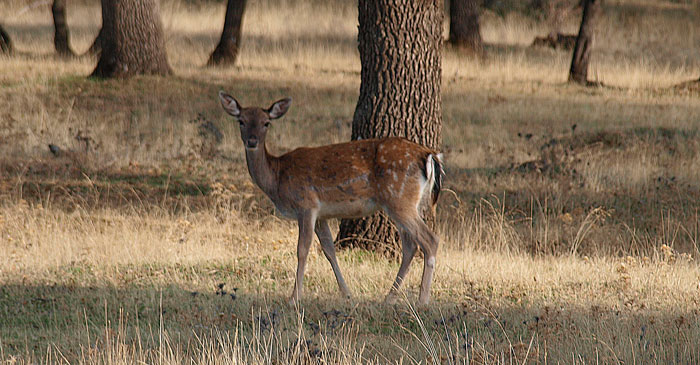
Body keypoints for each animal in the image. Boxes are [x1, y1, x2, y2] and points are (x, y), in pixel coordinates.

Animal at [219, 91, 442, 304]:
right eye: (241, 121)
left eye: (266, 123)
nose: (252, 141)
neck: (277, 177)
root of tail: (429, 154)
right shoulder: (321, 215)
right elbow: (328, 250)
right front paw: (347, 293)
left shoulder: (306, 204)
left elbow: (302, 249)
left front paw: (294, 298)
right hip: (408, 202)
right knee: (411, 245)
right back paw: (390, 297)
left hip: (398, 198)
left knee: (429, 239)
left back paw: (422, 300)